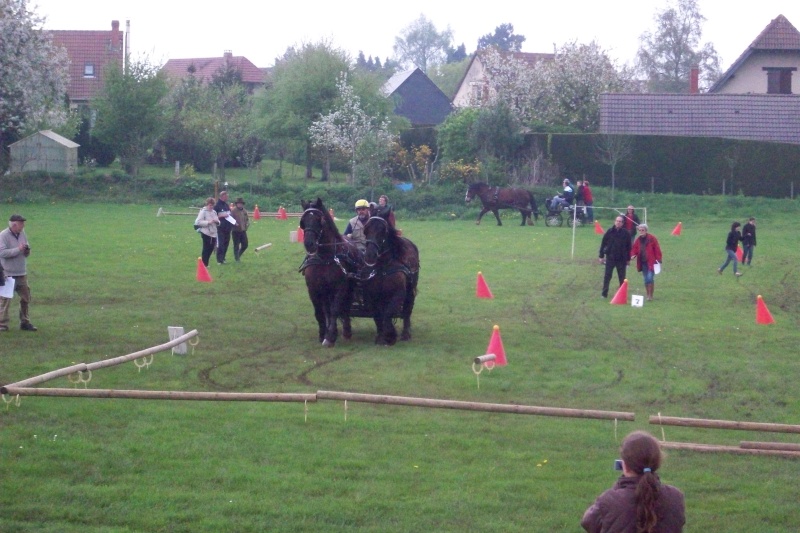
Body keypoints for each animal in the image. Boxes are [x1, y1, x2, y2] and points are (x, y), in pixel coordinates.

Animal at [300, 197, 362, 348]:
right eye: (303, 221)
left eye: (320, 220)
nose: (309, 244)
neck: (325, 258)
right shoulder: (314, 289)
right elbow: (320, 312)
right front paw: (323, 334)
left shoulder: (340, 287)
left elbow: (335, 310)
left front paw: (329, 337)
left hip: (348, 288)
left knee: (344, 307)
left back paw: (346, 331)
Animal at [362, 216, 422, 344]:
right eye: (366, 230)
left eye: (382, 231)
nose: (370, 255)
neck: (383, 267)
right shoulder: (373, 296)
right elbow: (378, 315)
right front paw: (381, 336)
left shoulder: (399, 293)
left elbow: (388, 313)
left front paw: (390, 335)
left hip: (410, 290)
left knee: (407, 310)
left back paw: (406, 333)